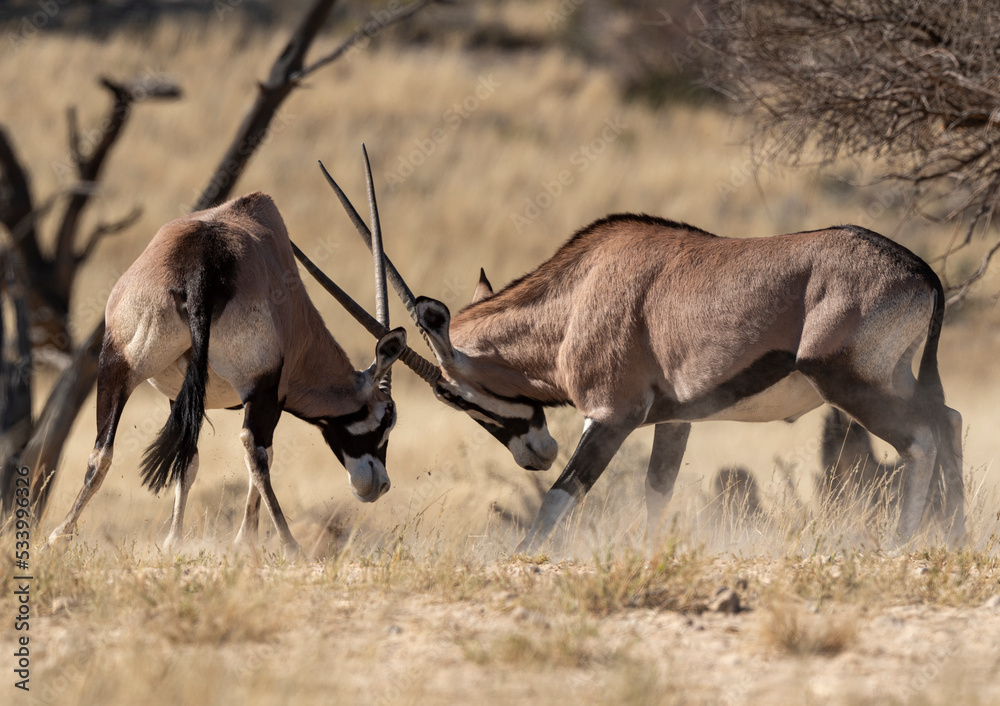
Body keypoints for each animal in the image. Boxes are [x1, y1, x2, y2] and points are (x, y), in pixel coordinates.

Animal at [46, 170, 440, 553]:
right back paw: (289, 543)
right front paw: (244, 540)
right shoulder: (272, 394)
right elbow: (262, 455)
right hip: (255, 387)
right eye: (387, 415)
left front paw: (173, 540)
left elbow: (187, 460)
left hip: (117, 365)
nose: (379, 485)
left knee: (102, 452)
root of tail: (202, 268)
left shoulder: (178, 397)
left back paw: (58, 536)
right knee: (255, 450)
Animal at [297, 164, 964, 551]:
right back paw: (958, 538)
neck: (574, 299)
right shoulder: (676, 419)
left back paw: (901, 545)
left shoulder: (612, 416)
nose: (536, 453)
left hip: (853, 385)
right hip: (896, 381)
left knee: (921, 440)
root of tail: (920, 270)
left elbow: (560, 499)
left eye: (452, 394)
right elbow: (655, 495)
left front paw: (523, 559)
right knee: (949, 422)